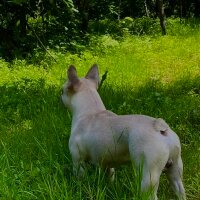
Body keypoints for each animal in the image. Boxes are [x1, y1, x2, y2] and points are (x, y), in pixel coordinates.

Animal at [61, 65, 186, 199]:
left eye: (62, 91)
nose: (60, 95)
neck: (91, 112)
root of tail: (159, 126)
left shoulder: (77, 160)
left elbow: (80, 178)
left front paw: (78, 188)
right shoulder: (107, 163)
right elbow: (110, 176)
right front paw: (110, 187)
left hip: (147, 176)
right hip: (175, 170)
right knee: (179, 189)